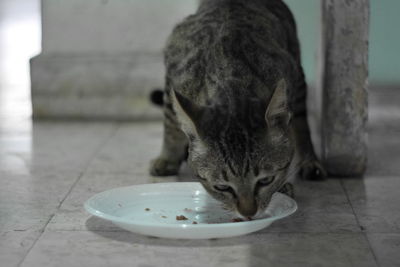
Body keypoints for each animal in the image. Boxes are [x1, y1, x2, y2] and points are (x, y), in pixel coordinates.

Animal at [149, 0, 324, 219]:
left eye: (265, 180)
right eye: (222, 187)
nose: (248, 213)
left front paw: (283, 186)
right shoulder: (173, 77)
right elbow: (171, 126)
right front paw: (167, 158)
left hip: (297, 70)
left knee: (301, 123)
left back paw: (310, 161)